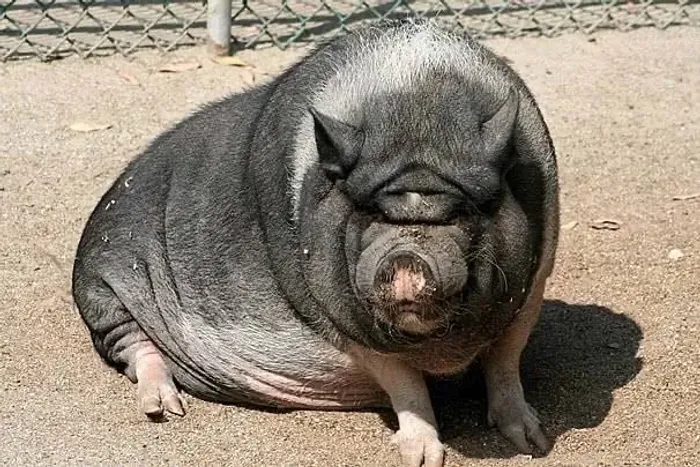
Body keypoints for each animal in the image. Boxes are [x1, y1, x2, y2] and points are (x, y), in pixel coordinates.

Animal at [72, 18, 559, 467]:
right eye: (371, 212)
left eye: (459, 214)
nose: (406, 258)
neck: (418, 109)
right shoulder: (338, 315)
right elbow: (405, 384)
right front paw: (421, 458)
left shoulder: (535, 281)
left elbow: (506, 361)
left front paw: (532, 443)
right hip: (102, 289)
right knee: (135, 348)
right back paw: (166, 410)